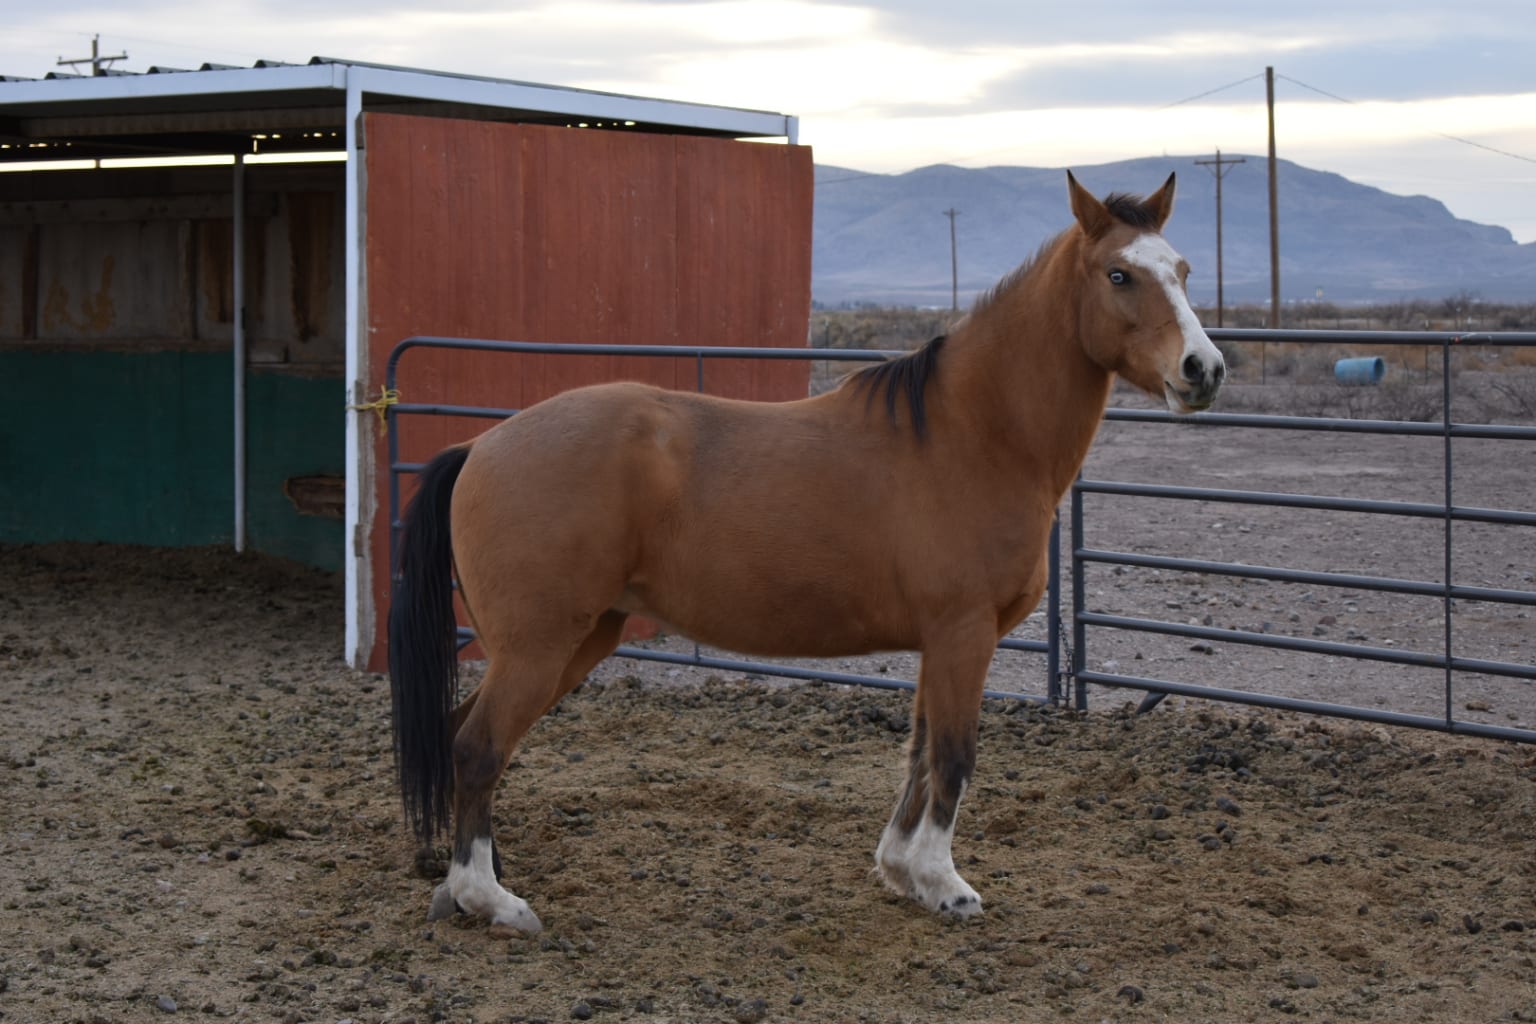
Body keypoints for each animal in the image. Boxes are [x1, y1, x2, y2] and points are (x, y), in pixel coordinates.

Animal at [387, 171, 1222, 933]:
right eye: (1120, 274)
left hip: (577, 639)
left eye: (1182, 271)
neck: (974, 434)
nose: (1204, 370)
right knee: (477, 747)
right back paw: (491, 899)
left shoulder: (940, 641)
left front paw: (901, 871)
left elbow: (920, 752)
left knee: (465, 738)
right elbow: (954, 755)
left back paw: (471, 877)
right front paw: (945, 885)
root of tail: (482, 444)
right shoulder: (964, 633)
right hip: (539, 645)